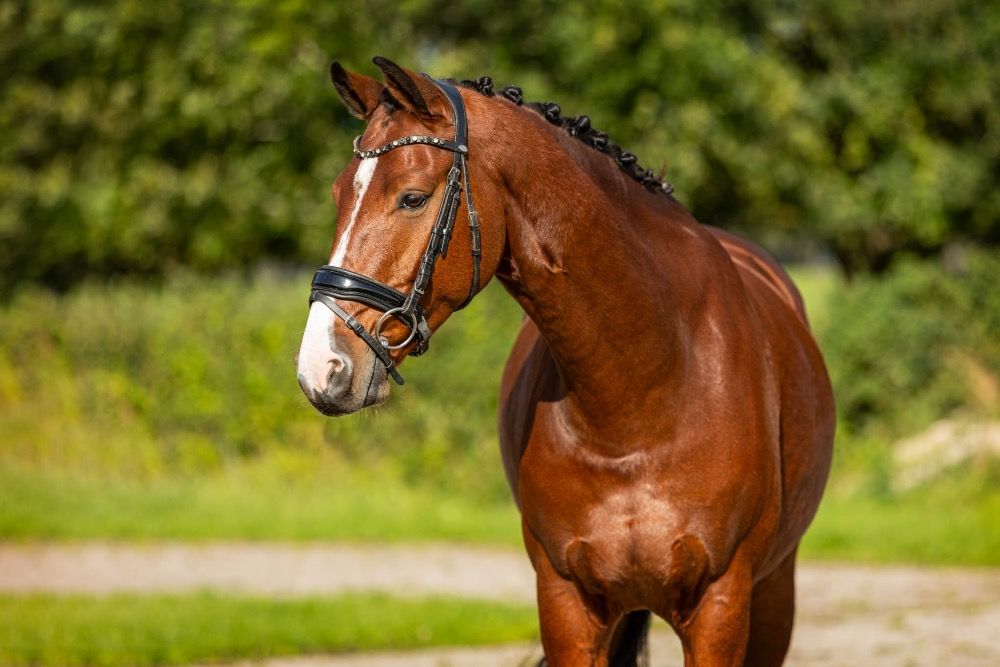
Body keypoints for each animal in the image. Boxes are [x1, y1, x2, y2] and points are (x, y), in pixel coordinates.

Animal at [296, 56, 835, 667]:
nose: (322, 367)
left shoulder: (721, 605)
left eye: (412, 197)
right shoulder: (565, 601)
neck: (644, 392)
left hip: (773, 597)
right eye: (339, 193)